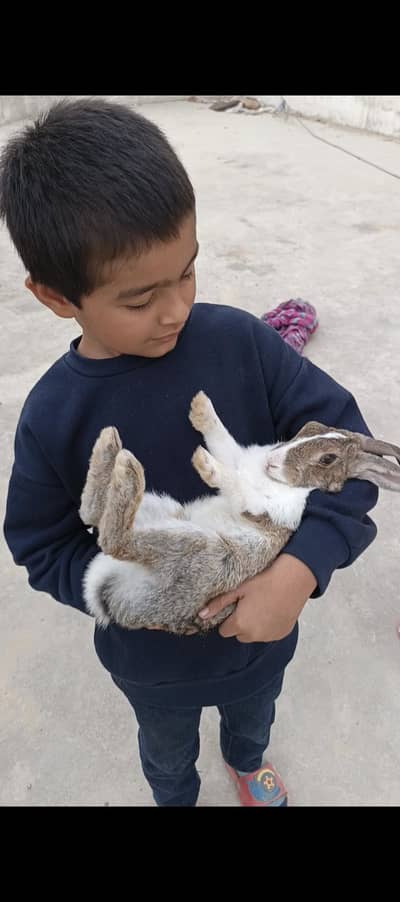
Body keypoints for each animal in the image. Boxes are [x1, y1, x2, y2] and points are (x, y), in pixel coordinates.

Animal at [80, 391, 400, 635]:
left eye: (327, 459)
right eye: (310, 425)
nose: (272, 460)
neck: (273, 478)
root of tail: (111, 597)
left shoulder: (264, 506)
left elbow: (235, 483)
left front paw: (205, 463)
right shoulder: (239, 458)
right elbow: (222, 440)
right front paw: (201, 406)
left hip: (199, 548)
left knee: (113, 539)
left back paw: (125, 468)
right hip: (167, 511)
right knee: (91, 515)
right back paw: (109, 445)